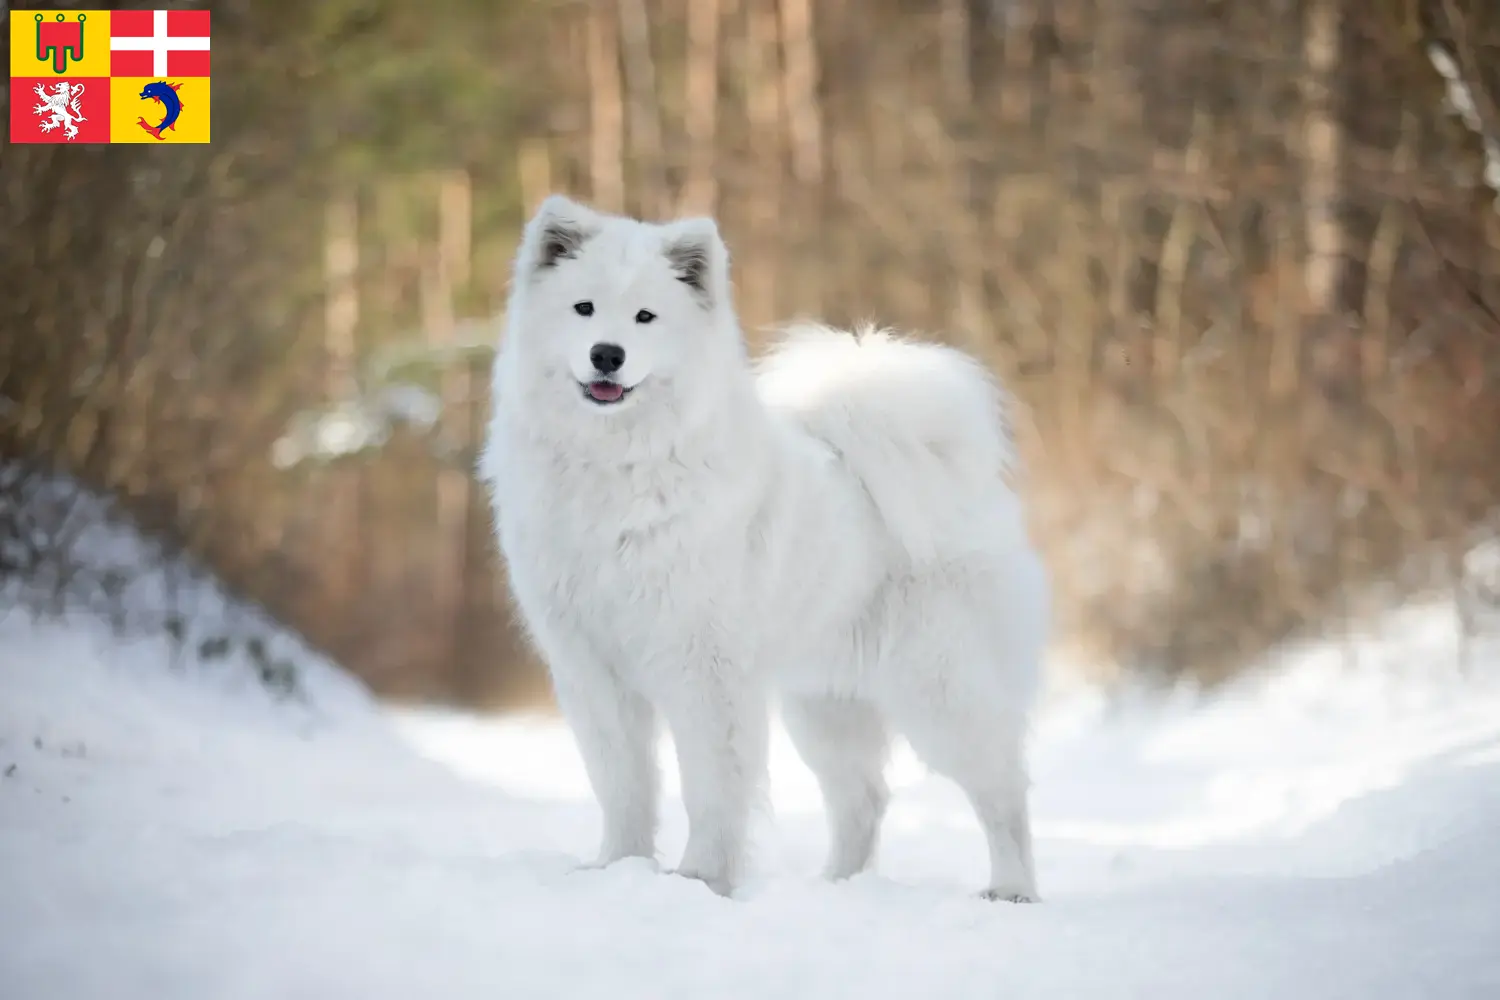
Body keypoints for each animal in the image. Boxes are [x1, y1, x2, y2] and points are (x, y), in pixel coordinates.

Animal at [483, 193, 1056, 899]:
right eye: (582, 308)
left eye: (646, 317)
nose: (607, 355)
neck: (617, 466)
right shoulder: (593, 669)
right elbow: (622, 786)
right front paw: (617, 868)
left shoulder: (703, 671)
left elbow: (710, 788)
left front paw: (699, 880)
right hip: (826, 703)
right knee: (863, 797)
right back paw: (835, 887)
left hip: (940, 690)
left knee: (1001, 789)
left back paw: (1012, 890)